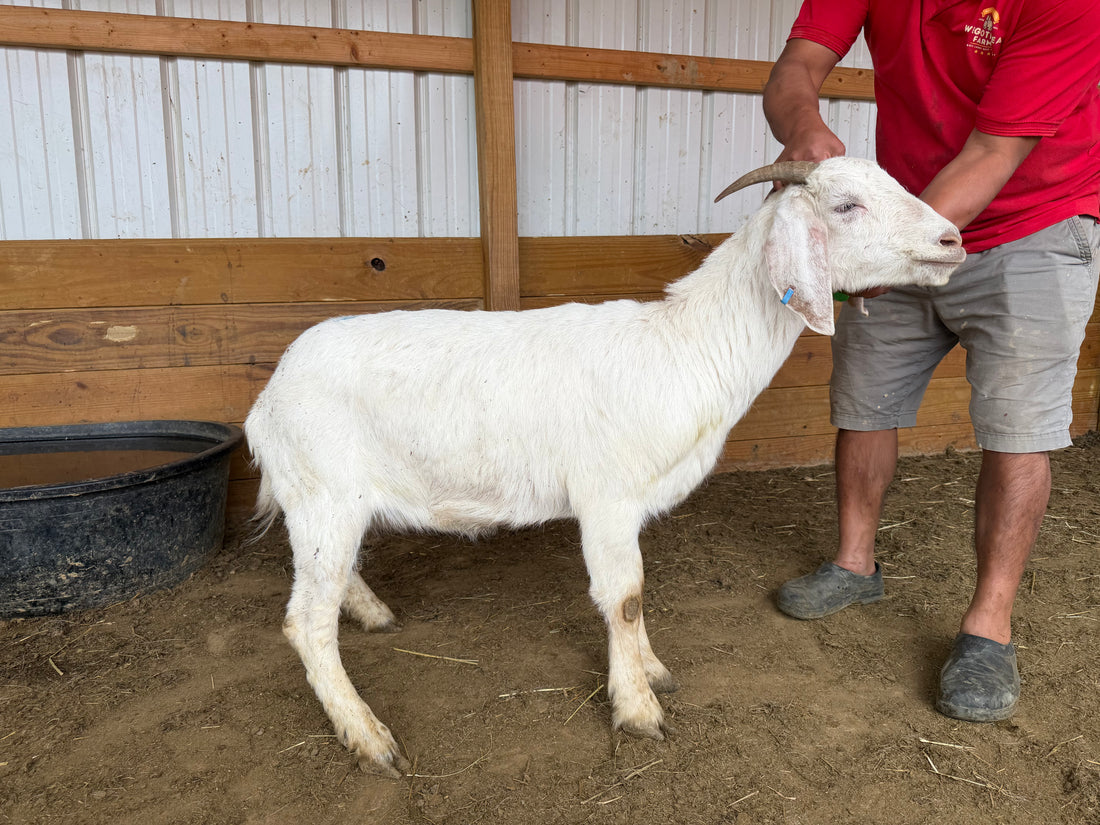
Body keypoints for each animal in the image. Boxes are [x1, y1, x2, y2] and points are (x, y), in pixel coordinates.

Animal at [244, 157, 965, 777]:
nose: (953, 238)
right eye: (845, 205)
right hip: (325, 496)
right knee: (306, 622)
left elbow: (635, 598)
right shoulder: (606, 496)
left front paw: (651, 669)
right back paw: (367, 735)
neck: (684, 345)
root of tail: (265, 400)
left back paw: (371, 613)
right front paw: (639, 709)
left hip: (331, 504)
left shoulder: (632, 502)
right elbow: (623, 597)